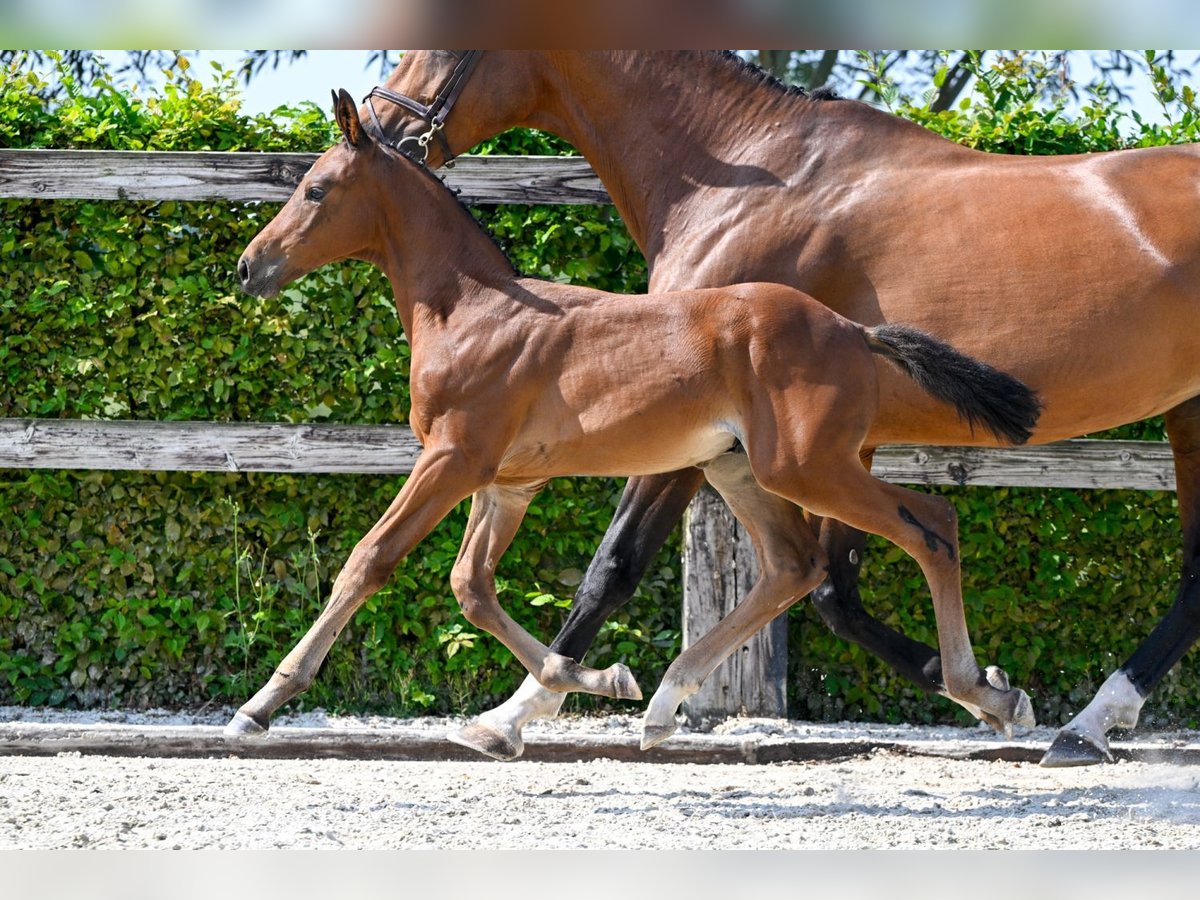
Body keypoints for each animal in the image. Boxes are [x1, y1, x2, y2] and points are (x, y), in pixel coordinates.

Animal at [229, 90, 1036, 748]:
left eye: (315, 188)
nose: (248, 267)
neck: (473, 312)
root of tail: (851, 329)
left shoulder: (452, 457)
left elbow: (370, 560)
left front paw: (260, 705)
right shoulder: (507, 482)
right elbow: (472, 587)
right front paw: (590, 681)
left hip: (807, 466)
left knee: (931, 526)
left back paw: (985, 691)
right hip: (739, 468)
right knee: (796, 564)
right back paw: (663, 704)